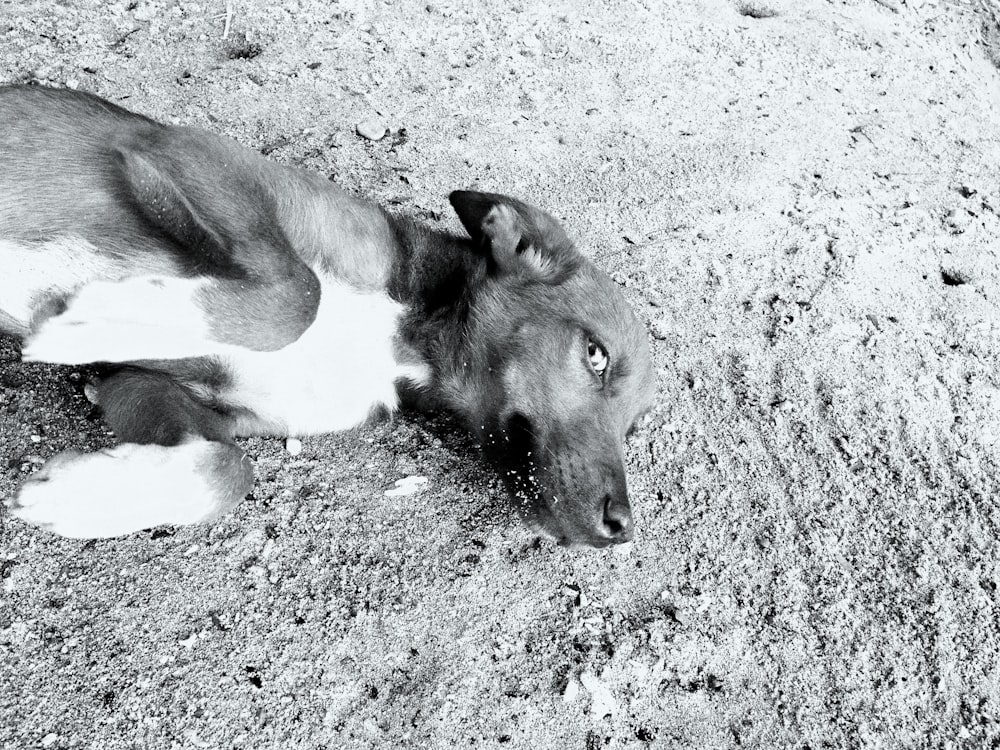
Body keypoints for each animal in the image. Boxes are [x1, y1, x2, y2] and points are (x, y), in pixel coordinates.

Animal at [0, 86, 656, 548]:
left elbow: (230, 468)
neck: (399, 345)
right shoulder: (186, 151)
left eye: (631, 428)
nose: (621, 527)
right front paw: (87, 323)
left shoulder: (136, 383)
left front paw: (81, 496)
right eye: (596, 355)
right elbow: (300, 291)